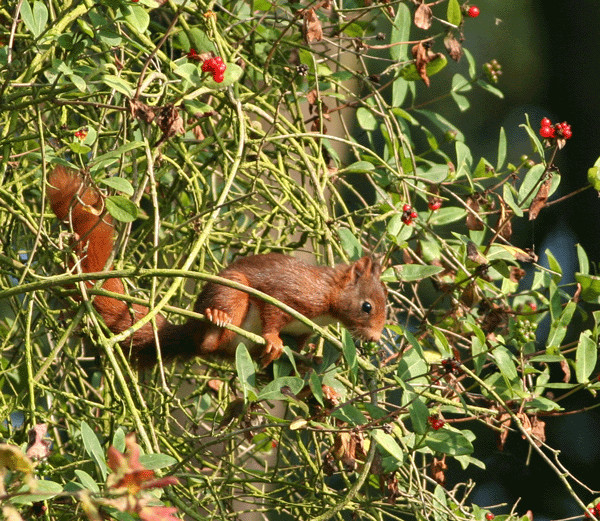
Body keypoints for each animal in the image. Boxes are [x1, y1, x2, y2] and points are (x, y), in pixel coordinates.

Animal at [45, 166, 384, 366]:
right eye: (367, 306)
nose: (376, 338)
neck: (327, 299)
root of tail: (190, 327)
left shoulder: (302, 331)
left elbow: (300, 345)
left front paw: (309, 359)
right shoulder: (292, 295)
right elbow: (273, 312)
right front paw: (274, 340)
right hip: (233, 294)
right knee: (206, 342)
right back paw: (216, 323)